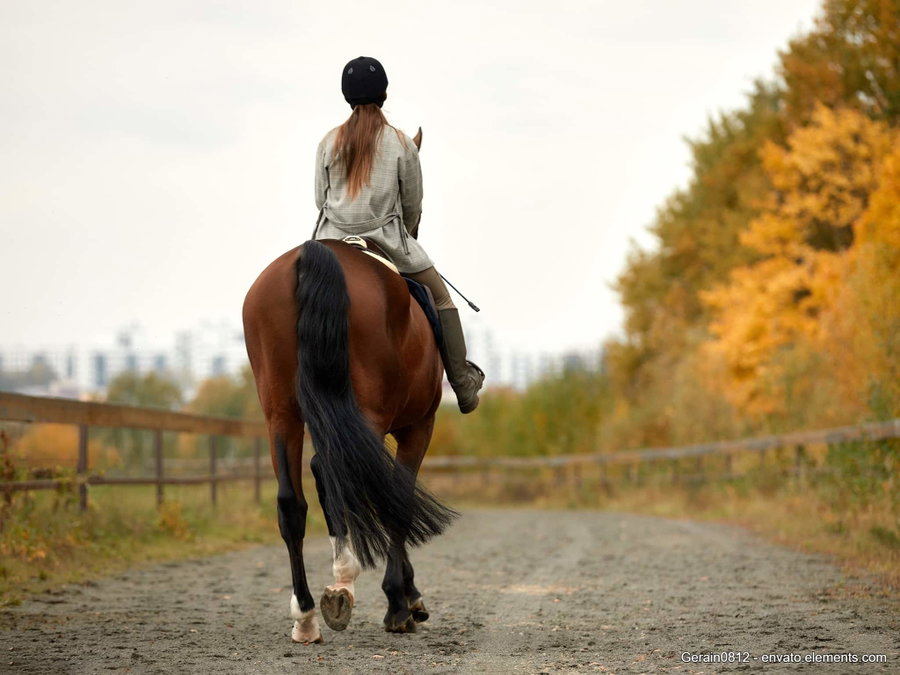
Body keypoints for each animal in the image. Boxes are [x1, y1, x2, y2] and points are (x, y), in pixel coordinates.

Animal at [242, 198, 457, 642]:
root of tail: (314, 255)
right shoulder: (418, 427)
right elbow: (397, 499)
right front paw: (402, 600)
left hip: (281, 414)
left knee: (292, 502)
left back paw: (307, 614)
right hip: (366, 416)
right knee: (339, 476)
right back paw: (345, 586)